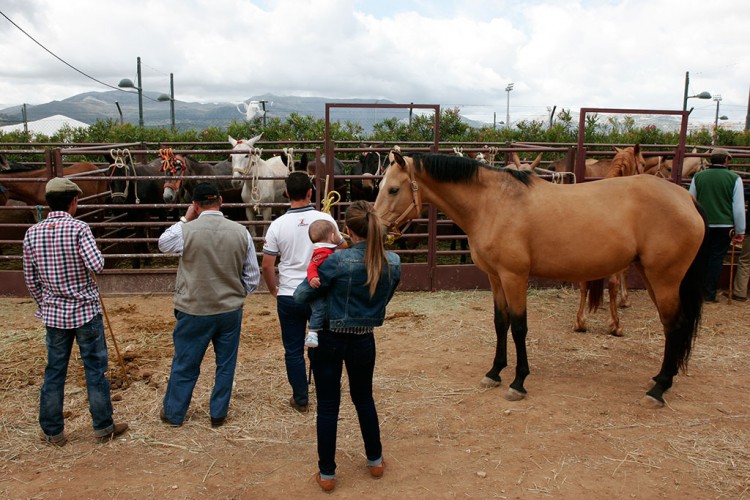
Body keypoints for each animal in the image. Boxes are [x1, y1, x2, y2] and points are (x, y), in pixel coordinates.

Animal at [376, 151, 712, 406]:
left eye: (393, 189)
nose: (376, 229)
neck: (493, 203)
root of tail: (686, 199)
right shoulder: (495, 278)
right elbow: (500, 324)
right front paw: (495, 372)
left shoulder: (514, 277)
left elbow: (519, 327)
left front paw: (518, 381)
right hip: (653, 276)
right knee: (672, 327)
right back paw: (661, 379)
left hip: (665, 279)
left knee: (674, 325)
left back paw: (658, 389)